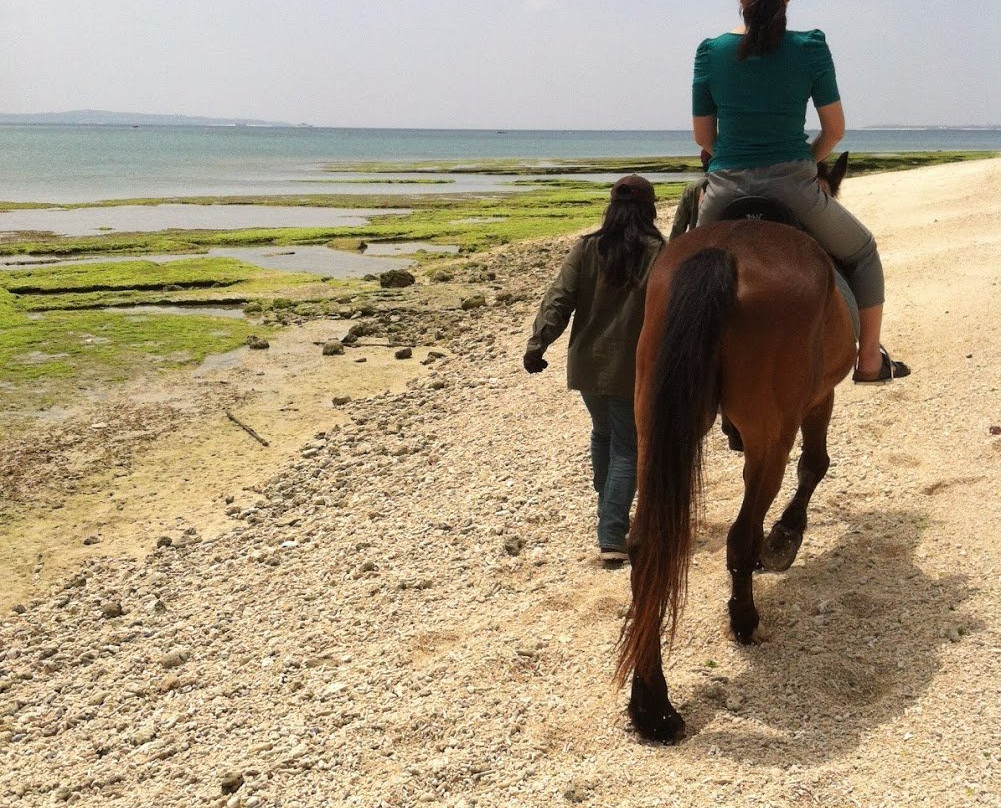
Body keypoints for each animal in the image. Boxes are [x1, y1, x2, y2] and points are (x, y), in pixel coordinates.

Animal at [615, 152, 857, 744]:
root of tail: (724, 253)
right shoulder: (821, 397)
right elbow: (816, 466)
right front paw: (786, 539)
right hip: (774, 435)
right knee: (742, 534)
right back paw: (745, 621)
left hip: (653, 420)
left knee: (647, 544)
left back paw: (651, 705)